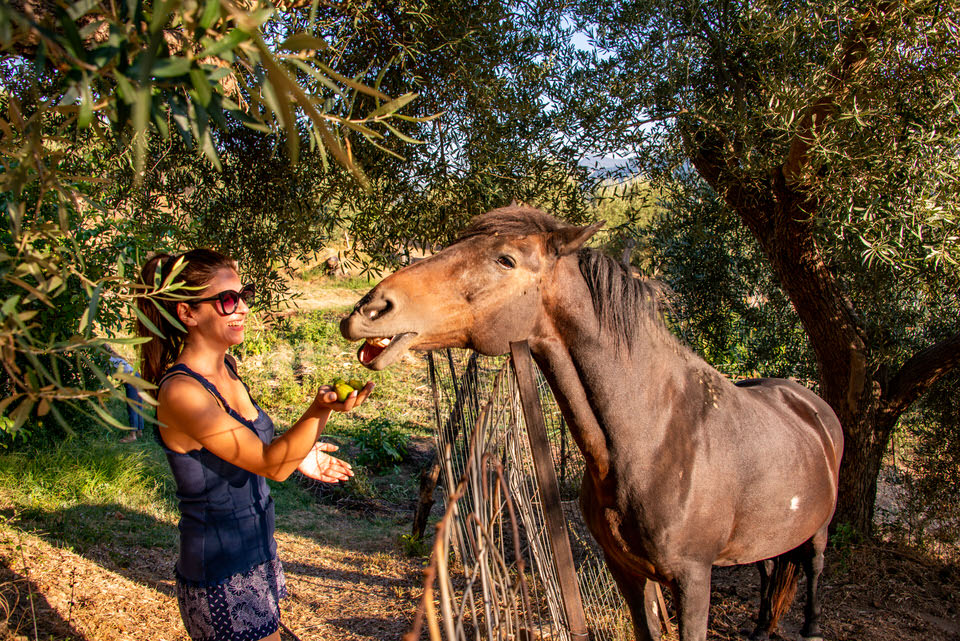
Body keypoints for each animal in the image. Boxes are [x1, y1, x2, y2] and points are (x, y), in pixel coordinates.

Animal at [342, 205, 844, 640]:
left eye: (505, 259)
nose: (368, 311)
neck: (653, 439)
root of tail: (809, 401)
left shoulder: (693, 581)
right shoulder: (626, 571)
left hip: (817, 532)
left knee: (815, 568)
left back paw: (812, 628)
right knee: (770, 566)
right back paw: (760, 629)